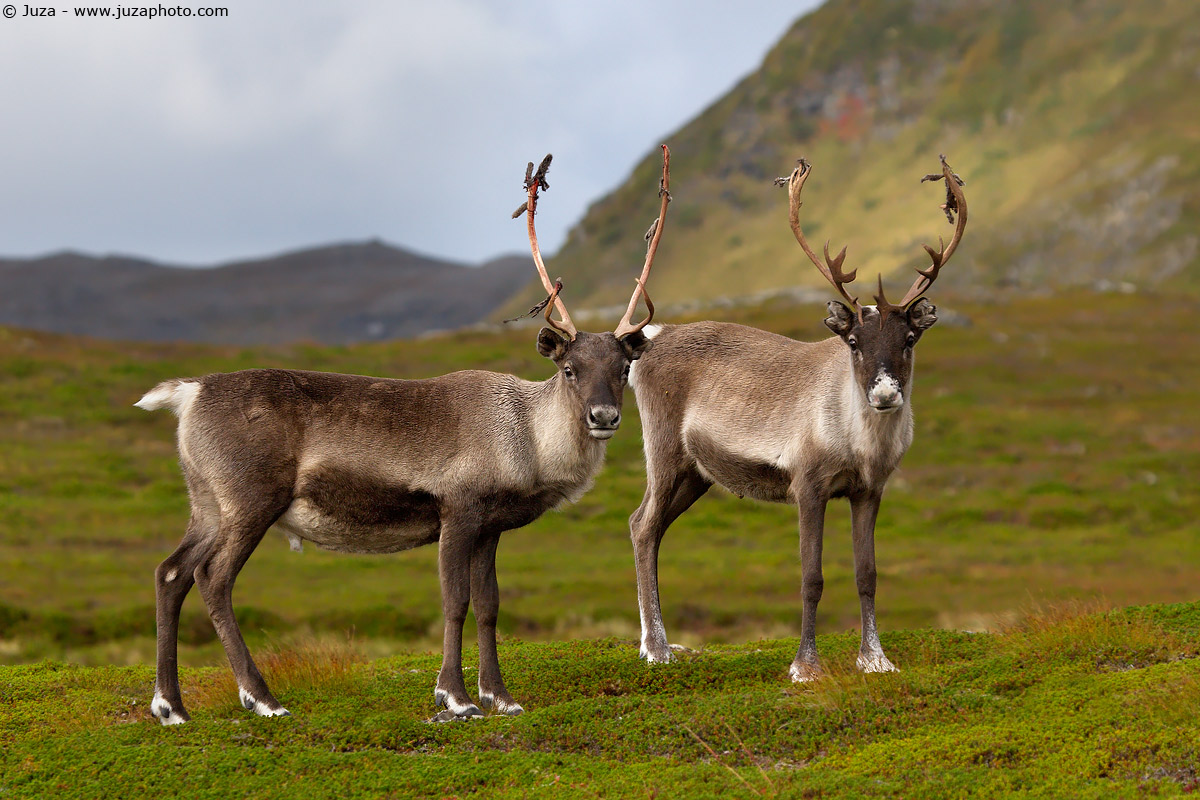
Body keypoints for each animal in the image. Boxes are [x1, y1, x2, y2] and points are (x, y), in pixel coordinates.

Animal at [137, 147, 672, 725]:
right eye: (570, 368)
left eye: (623, 368)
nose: (603, 416)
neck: (526, 438)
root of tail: (188, 393)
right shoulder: (457, 510)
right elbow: (454, 601)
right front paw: (456, 696)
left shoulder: (491, 527)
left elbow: (490, 605)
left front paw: (501, 696)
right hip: (250, 498)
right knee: (213, 578)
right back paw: (262, 698)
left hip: (206, 501)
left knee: (171, 572)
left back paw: (170, 705)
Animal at [626, 155, 967, 681]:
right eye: (854, 342)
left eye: (910, 338)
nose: (885, 393)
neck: (860, 443)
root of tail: (650, 339)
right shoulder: (808, 484)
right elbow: (812, 576)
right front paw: (806, 665)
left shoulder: (869, 490)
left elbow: (867, 574)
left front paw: (876, 658)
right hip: (663, 452)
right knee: (643, 525)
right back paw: (657, 648)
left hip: (697, 473)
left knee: (651, 527)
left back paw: (658, 643)